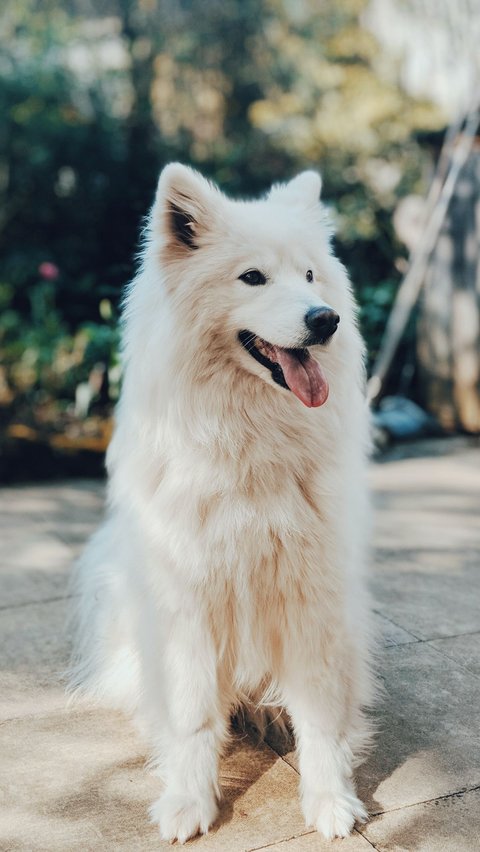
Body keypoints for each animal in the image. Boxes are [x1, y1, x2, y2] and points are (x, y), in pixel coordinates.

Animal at [69, 163, 374, 844]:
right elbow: (191, 717)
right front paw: (188, 801)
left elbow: (321, 716)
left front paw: (330, 801)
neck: (250, 442)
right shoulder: (189, 599)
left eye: (310, 276)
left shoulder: (312, 593)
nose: (326, 319)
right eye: (252, 277)